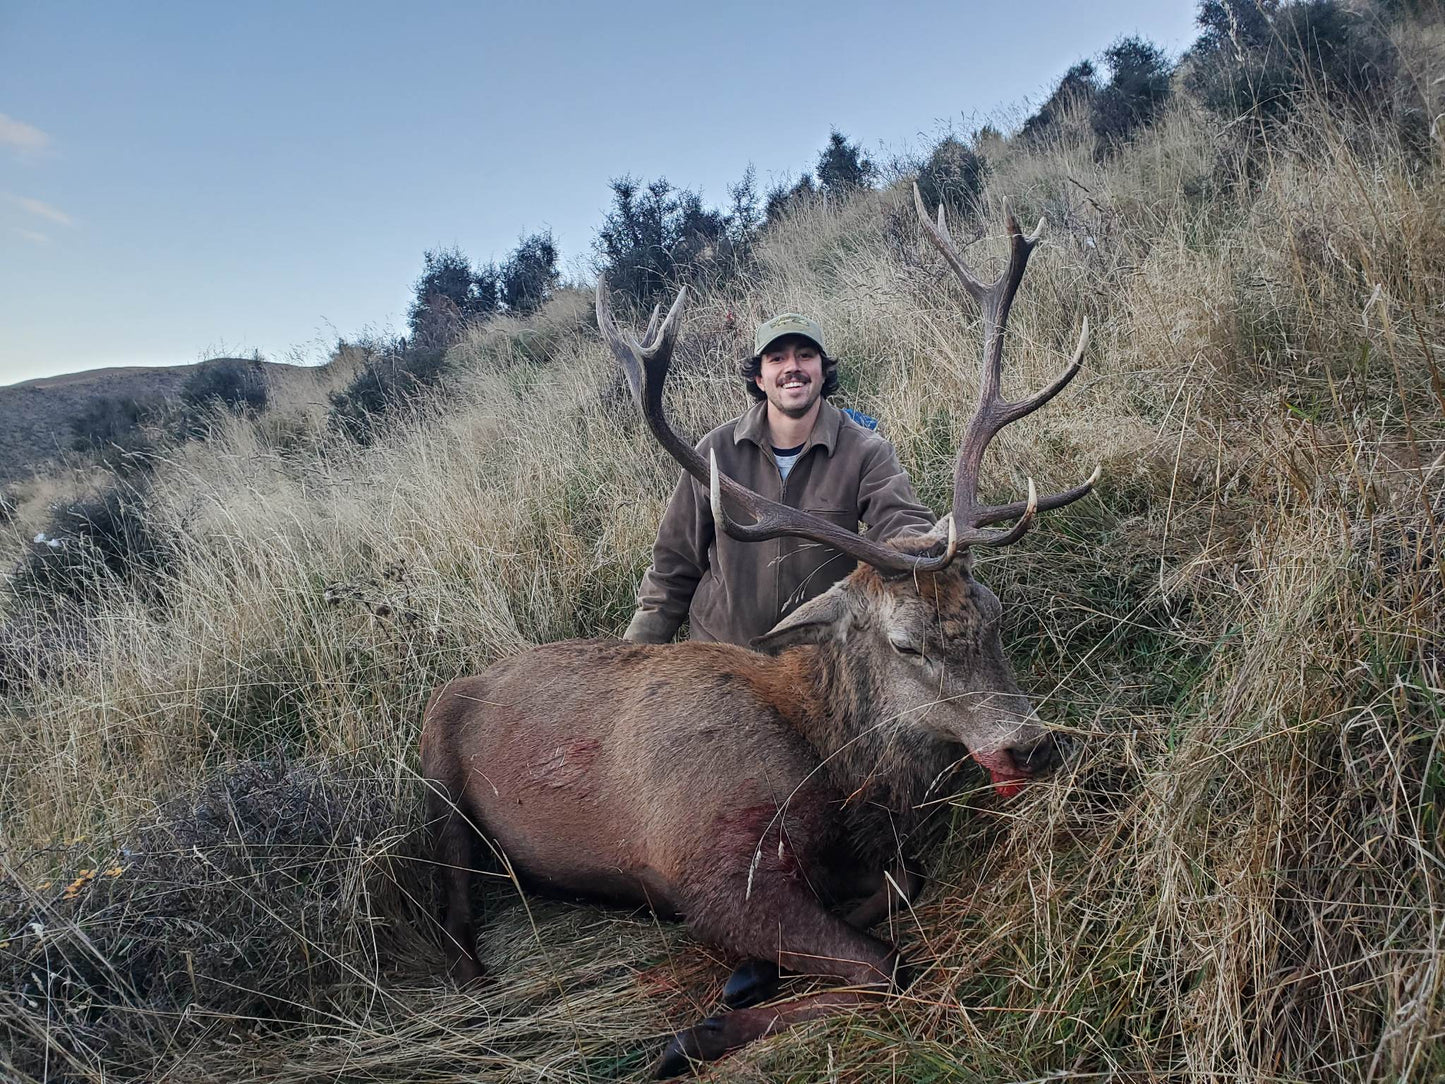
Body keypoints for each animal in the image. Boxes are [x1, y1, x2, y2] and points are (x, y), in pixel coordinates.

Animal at [420, 187, 1098, 1077]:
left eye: (992, 615)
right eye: (906, 644)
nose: (1029, 746)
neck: (833, 769)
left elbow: (898, 893)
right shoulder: (711, 866)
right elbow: (888, 966)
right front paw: (696, 1032)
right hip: (436, 771)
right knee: (452, 921)